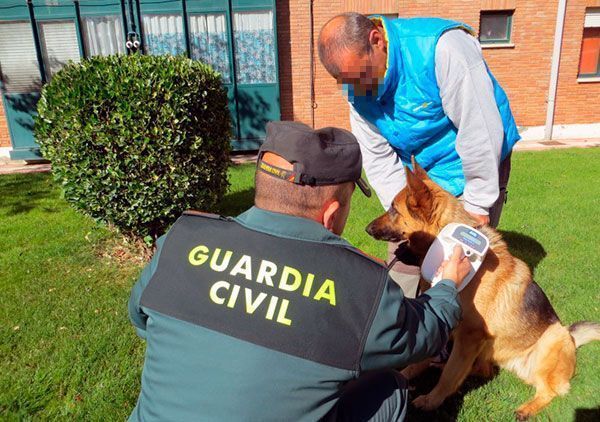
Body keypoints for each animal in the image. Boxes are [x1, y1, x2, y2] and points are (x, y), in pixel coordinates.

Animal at [366, 158, 600, 418]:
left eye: (394, 210)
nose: (367, 229)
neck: (450, 246)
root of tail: (572, 338)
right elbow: (424, 360)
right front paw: (405, 376)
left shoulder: (469, 336)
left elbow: (450, 376)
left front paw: (431, 400)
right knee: (482, 370)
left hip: (551, 339)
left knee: (551, 390)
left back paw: (526, 409)